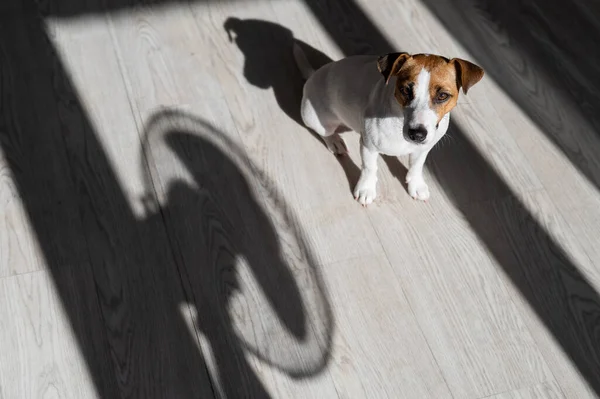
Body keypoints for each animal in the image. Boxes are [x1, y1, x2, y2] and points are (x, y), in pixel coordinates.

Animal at [292, 45, 486, 205]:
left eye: (443, 96)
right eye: (405, 90)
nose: (417, 134)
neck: (398, 119)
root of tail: (312, 76)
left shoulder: (424, 148)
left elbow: (417, 166)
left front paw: (416, 185)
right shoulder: (368, 146)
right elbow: (369, 168)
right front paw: (366, 189)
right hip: (315, 118)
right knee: (324, 132)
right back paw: (334, 141)